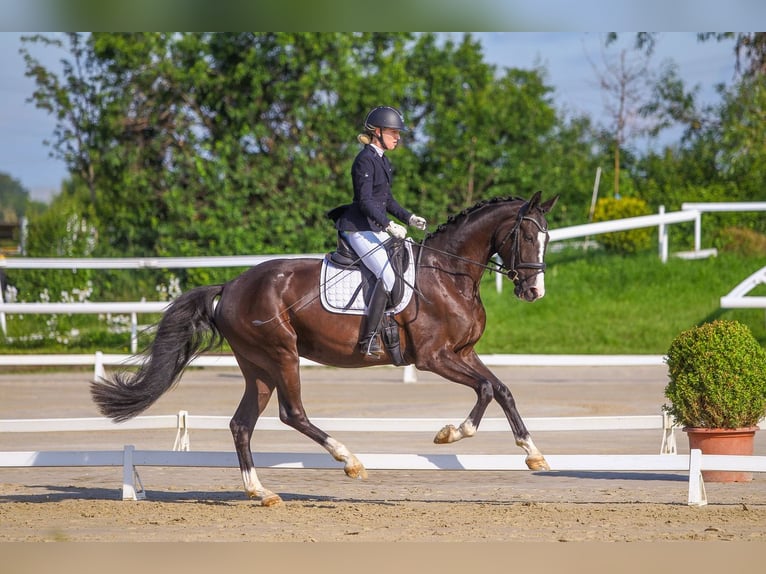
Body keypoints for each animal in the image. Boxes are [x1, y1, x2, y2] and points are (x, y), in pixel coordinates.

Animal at [90, 191, 560, 506]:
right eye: (526, 237)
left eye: (548, 238)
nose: (534, 291)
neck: (450, 273)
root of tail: (232, 285)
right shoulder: (435, 358)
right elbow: (485, 390)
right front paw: (451, 433)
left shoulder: (461, 353)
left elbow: (501, 389)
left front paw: (534, 455)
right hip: (282, 354)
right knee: (291, 413)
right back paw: (348, 460)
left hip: (257, 366)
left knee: (242, 424)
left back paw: (261, 491)